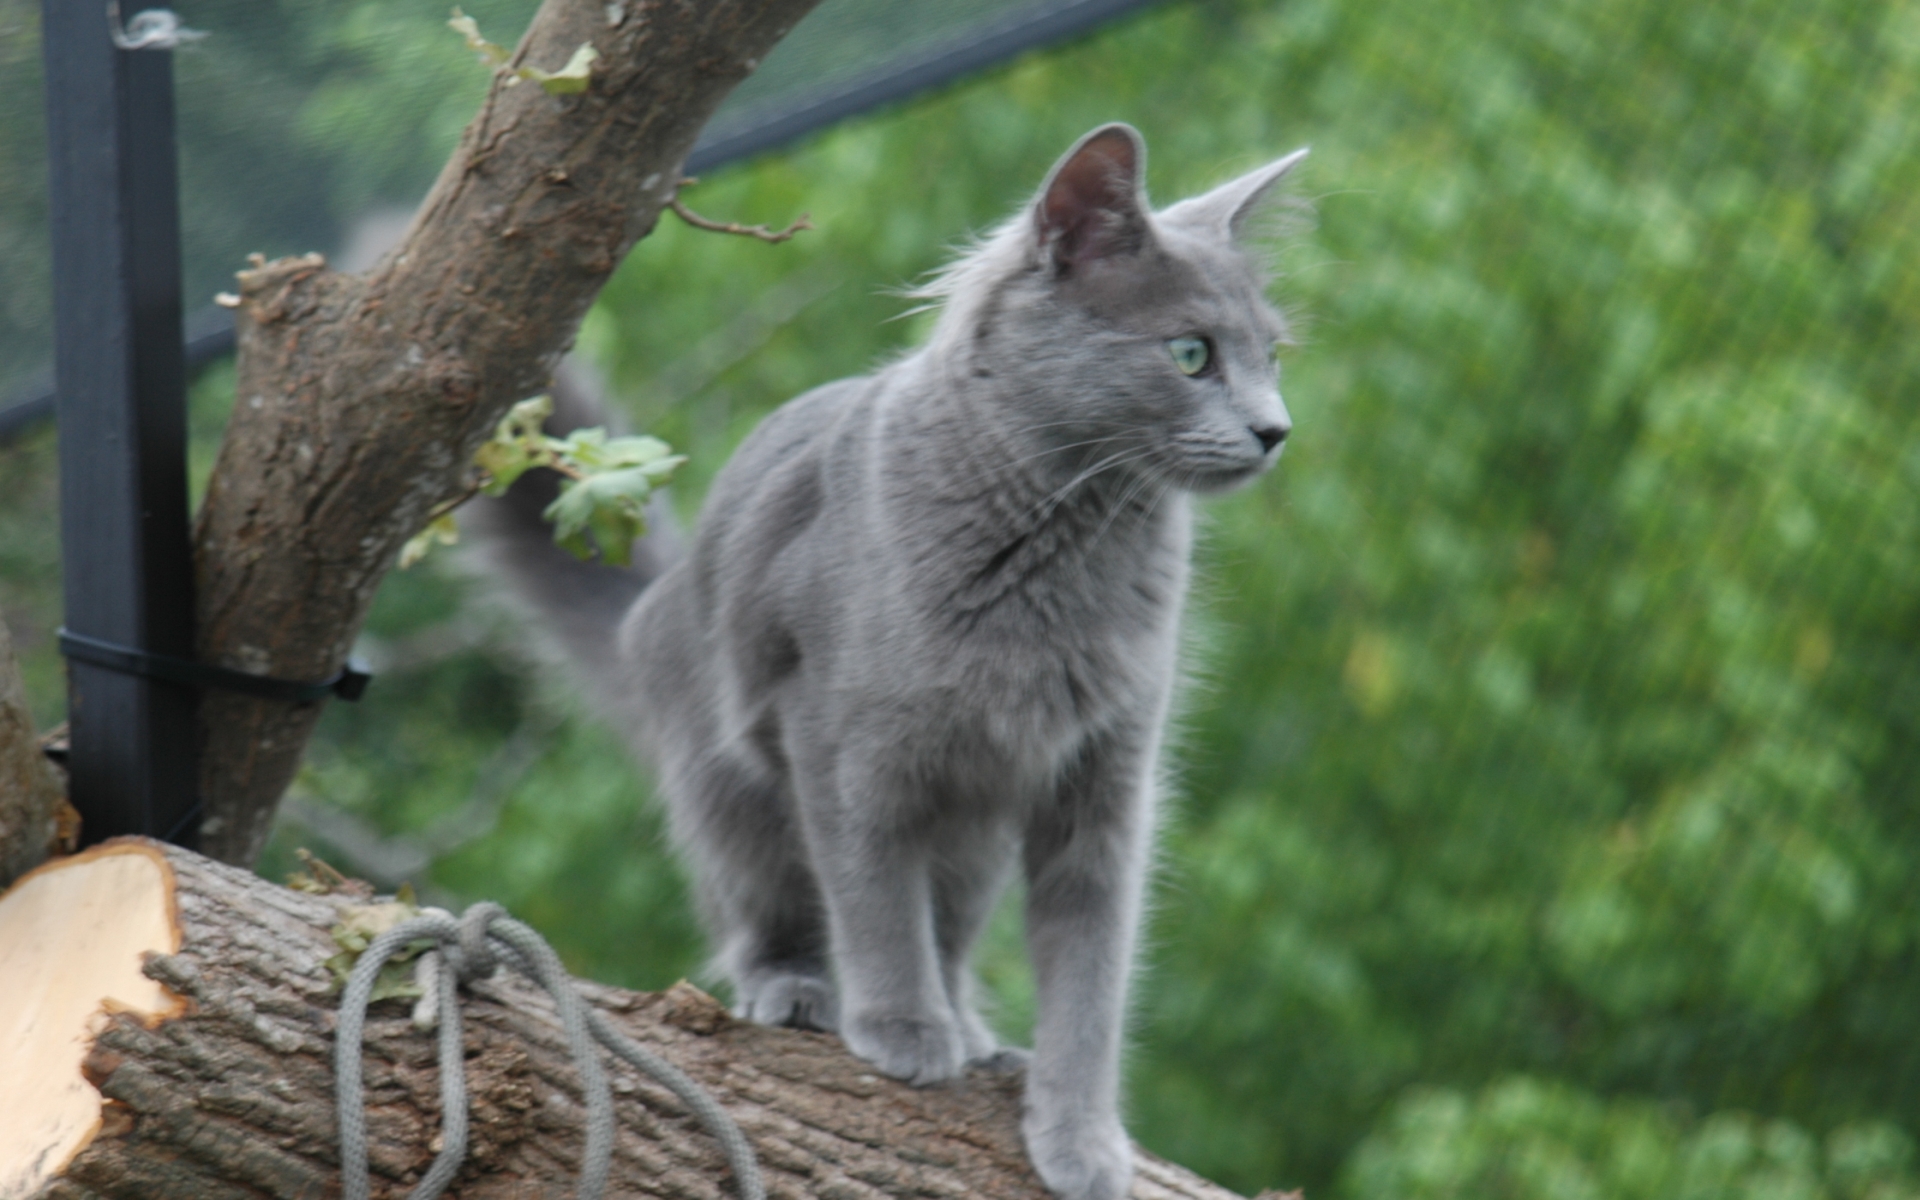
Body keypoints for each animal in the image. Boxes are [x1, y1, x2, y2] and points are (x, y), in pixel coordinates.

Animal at [472, 123, 1305, 1198]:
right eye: (1192, 353)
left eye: (1272, 356)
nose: (1276, 429)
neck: (1068, 544)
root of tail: (654, 605)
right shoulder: (835, 736)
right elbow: (871, 891)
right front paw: (900, 1029)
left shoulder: (1105, 780)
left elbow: (1091, 974)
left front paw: (1081, 1135)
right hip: (728, 780)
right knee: (766, 906)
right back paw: (803, 993)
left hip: (975, 831)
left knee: (950, 930)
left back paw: (976, 1034)